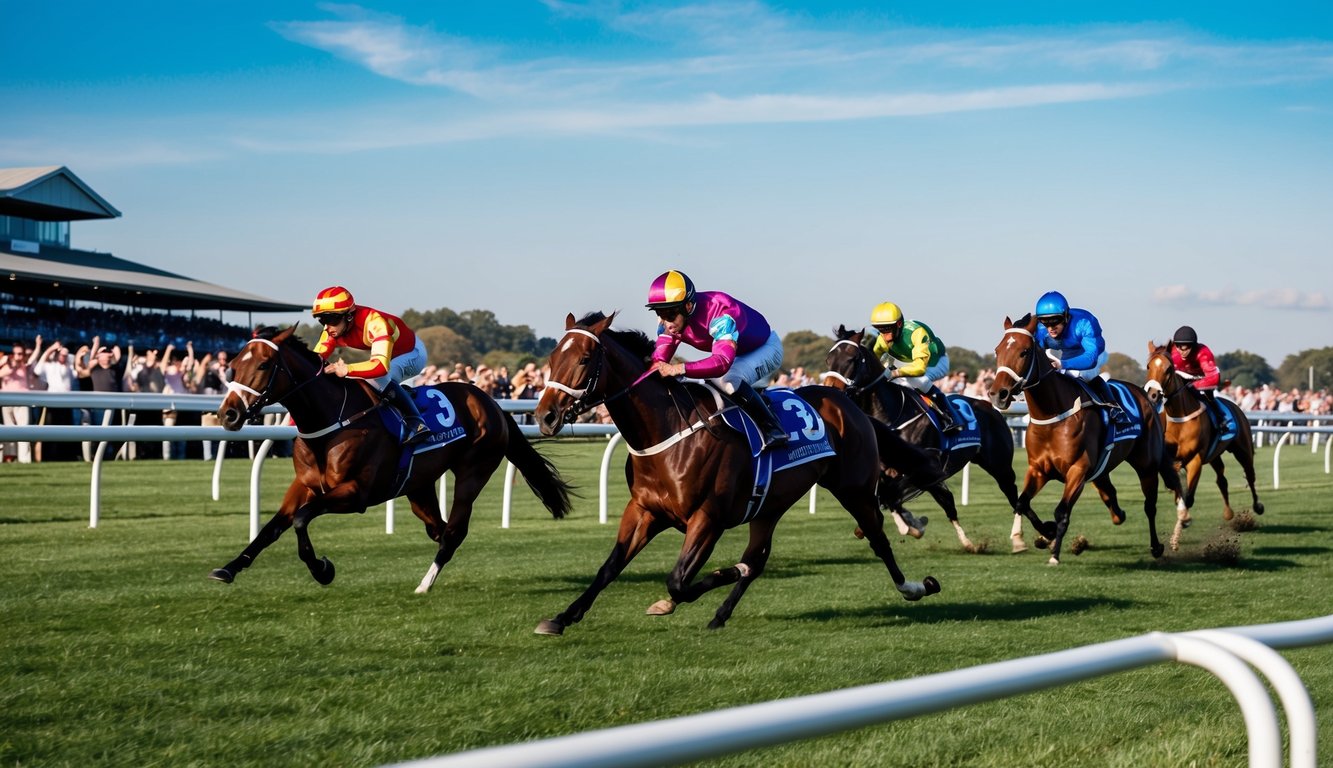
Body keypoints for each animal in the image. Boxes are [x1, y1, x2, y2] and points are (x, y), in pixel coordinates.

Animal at [209, 326, 573, 592]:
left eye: (263, 365)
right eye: (234, 364)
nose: (228, 414)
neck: (329, 424)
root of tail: (491, 402)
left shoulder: (356, 493)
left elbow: (300, 520)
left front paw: (322, 569)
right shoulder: (304, 486)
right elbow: (272, 527)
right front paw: (228, 568)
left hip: (474, 470)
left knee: (453, 532)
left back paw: (424, 585)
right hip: (418, 486)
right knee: (439, 529)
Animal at [525, 312, 943, 634]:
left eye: (583, 359)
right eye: (553, 356)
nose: (545, 416)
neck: (668, 432)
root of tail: (847, 402)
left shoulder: (707, 519)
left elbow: (678, 582)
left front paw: (675, 598)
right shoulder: (644, 510)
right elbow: (609, 567)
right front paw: (562, 617)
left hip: (853, 487)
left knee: (878, 538)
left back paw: (915, 587)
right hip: (770, 504)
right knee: (758, 559)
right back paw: (720, 615)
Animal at [815, 324, 1034, 552]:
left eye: (852, 358)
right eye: (829, 359)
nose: (830, 388)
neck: (893, 414)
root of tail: (990, 406)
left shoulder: (928, 465)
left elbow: (891, 495)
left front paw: (909, 525)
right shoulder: (890, 471)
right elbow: (887, 495)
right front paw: (908, 523)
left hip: (1000, 466)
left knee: (1014, 496)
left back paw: (1027, 537)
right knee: (950, 503)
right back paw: (969, 542)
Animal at [986, 313, 1183, 565]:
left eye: (1024, 352)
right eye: (997, 350)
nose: (997, 394)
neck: (1053, 414)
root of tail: (1145, 395)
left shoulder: (1077, 470)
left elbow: (1061, 511)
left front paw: (1054, 553)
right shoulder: (1038, 469)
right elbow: (1021, 502)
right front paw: (1033, 536)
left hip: (1147, 464)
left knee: (1150, 505)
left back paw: (1156, 546)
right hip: (1101, 469)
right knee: (1110, 494)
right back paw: (1119, 515)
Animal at [1146, 338, 1258, 549]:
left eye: (1168, 369)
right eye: (1148, 366)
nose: (1153, 395)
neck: (1179, 418)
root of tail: (1235, 405)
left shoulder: (1195, 460)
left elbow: (1188, 498)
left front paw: (1182, 525)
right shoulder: (1172, 461)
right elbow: (1177, 491)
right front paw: (1177, 532)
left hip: (1243, 450)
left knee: (1250, 475)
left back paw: (1258, 505)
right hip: (1214, 456)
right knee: (1221, 479)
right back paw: (1228, 513)